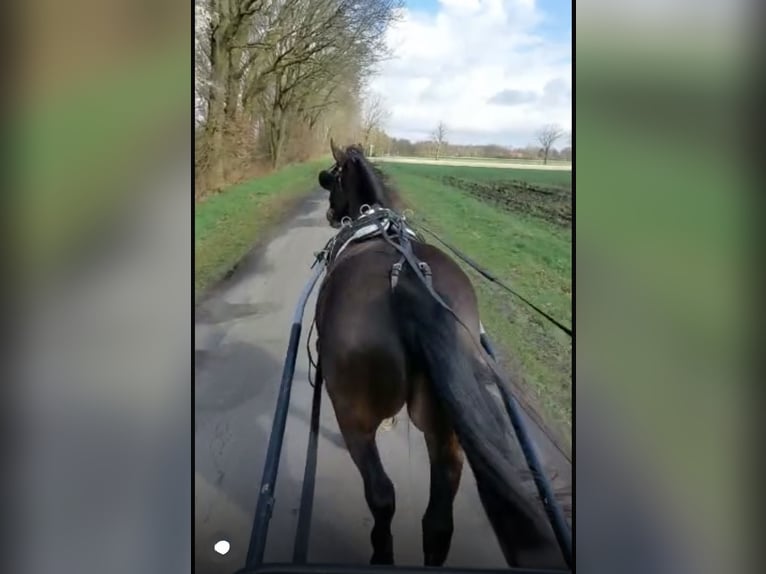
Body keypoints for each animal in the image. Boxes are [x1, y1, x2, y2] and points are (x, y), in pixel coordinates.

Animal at [312, 141, 567, 570]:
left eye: (333, 176)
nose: (331, 215)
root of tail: (408, 281)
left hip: (353, 414)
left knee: (382, 495)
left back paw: (380, 551)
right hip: (445, 425)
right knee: (437, 520)